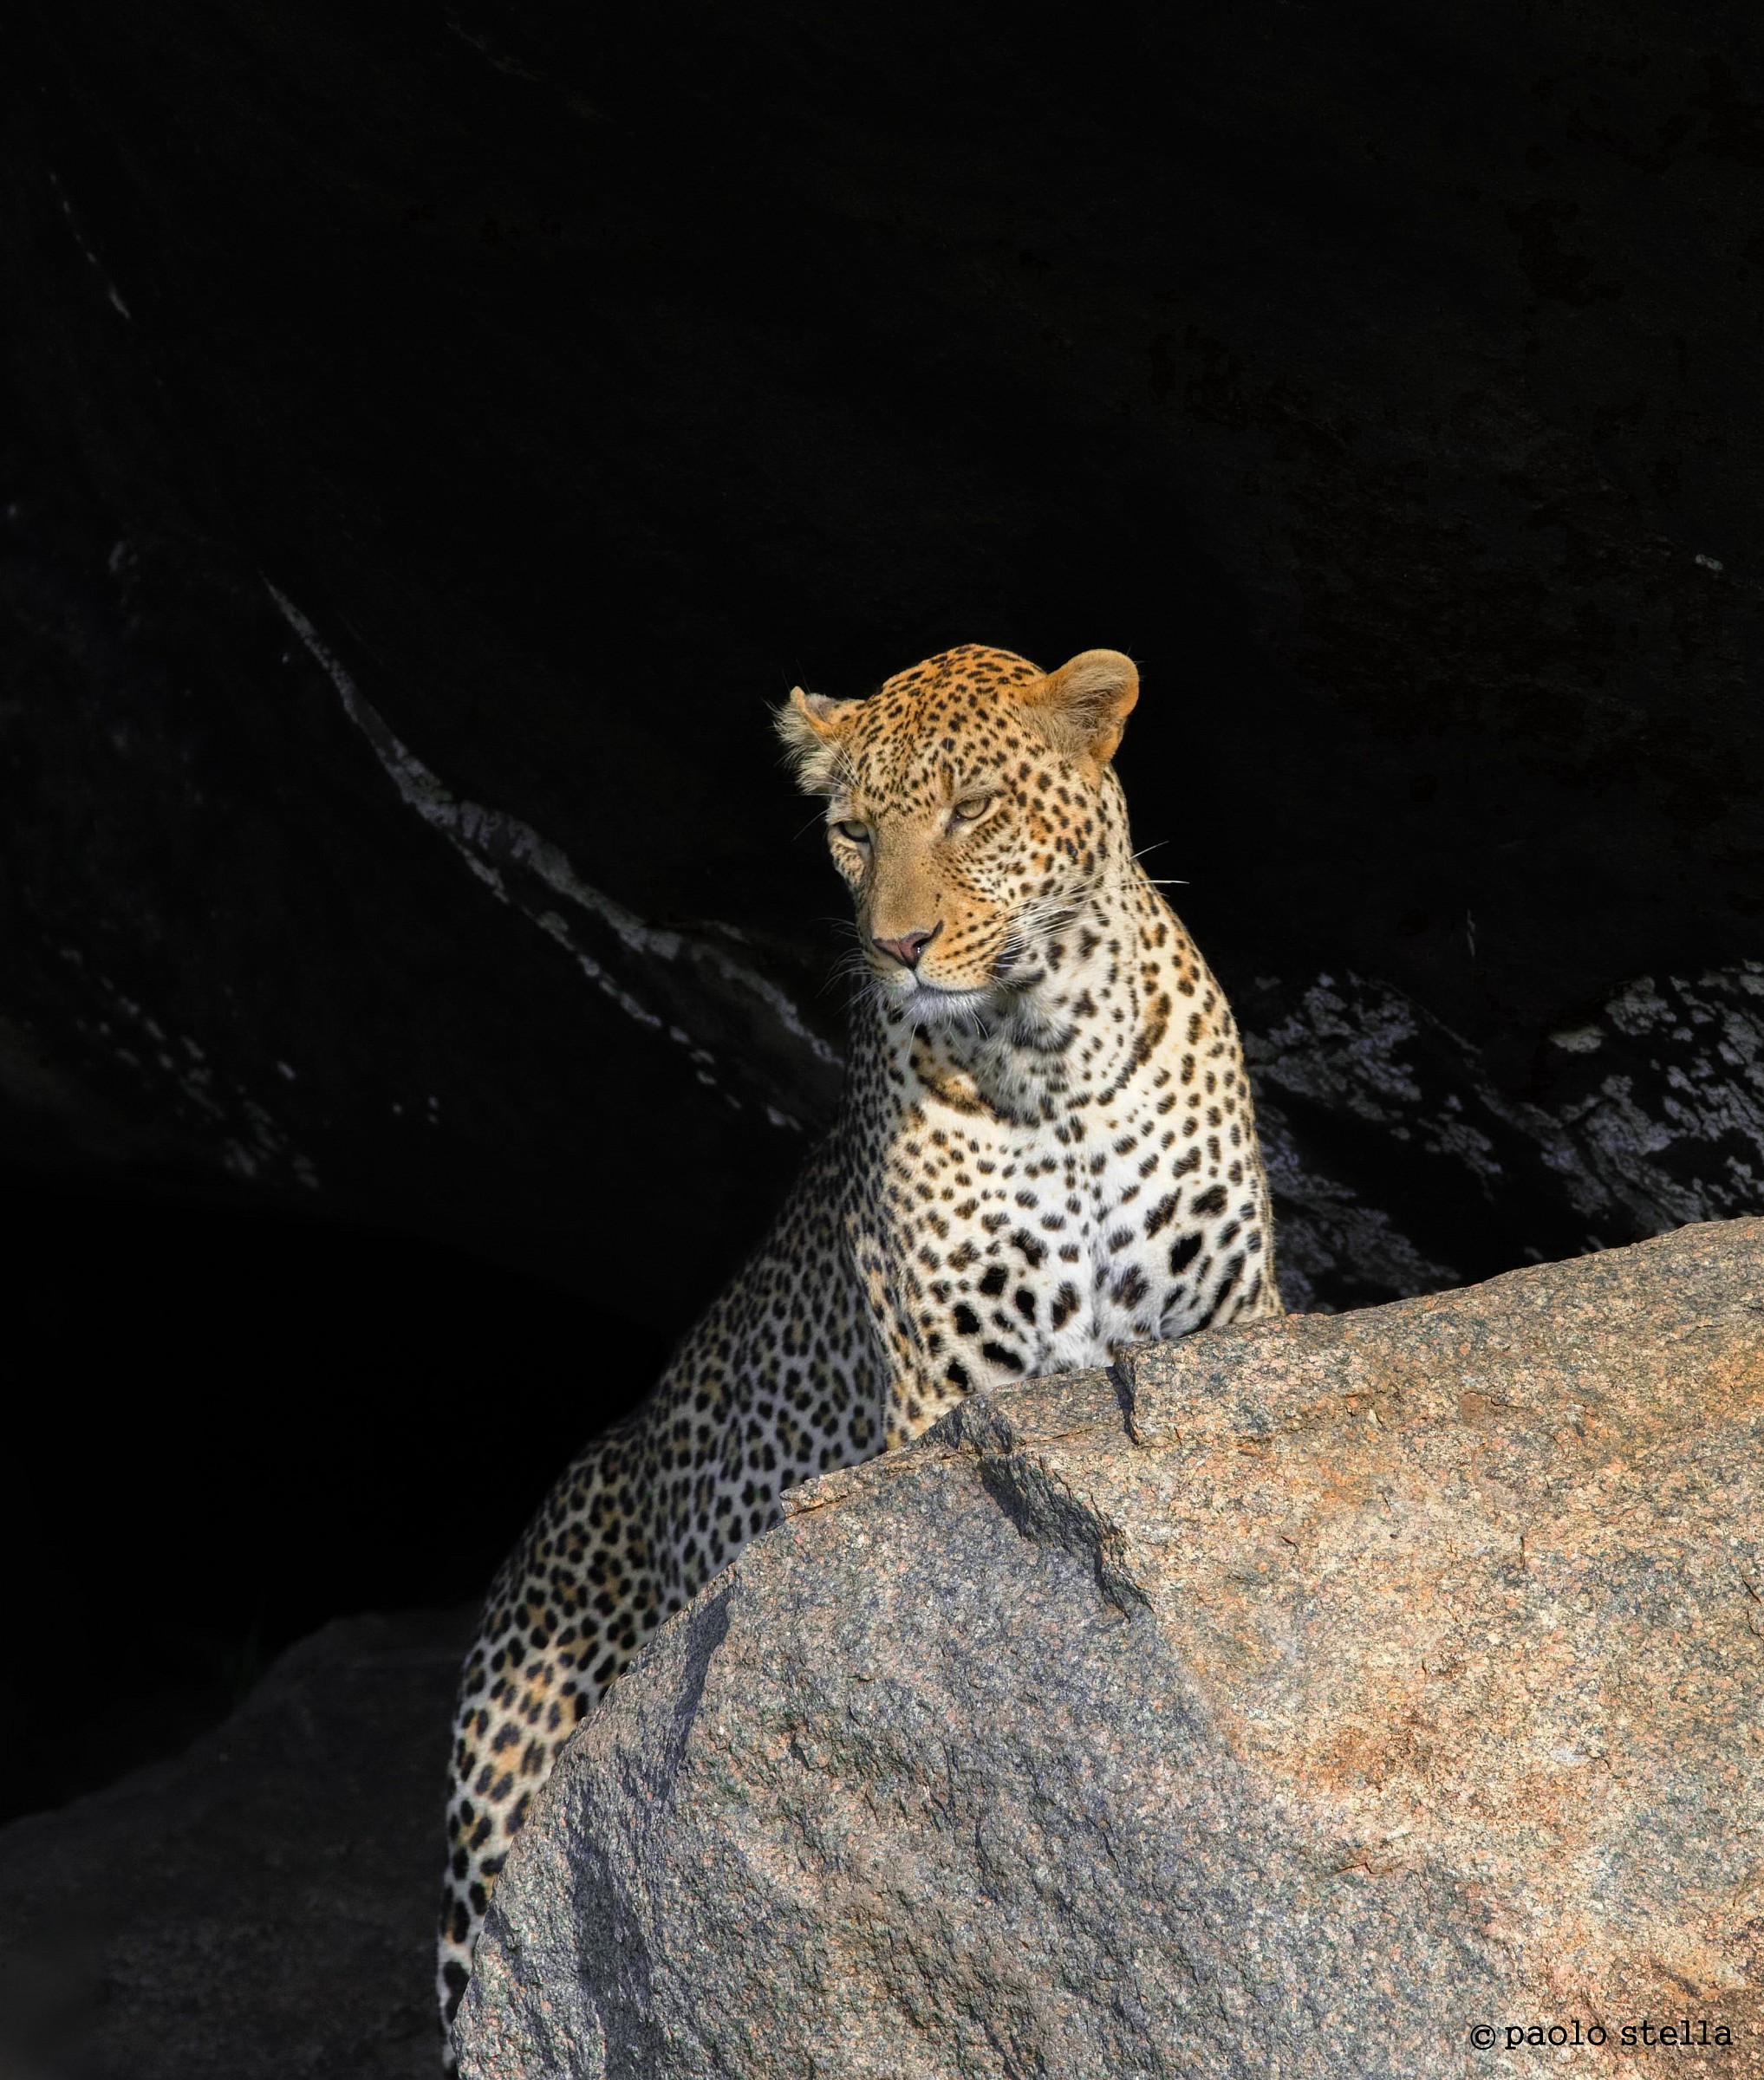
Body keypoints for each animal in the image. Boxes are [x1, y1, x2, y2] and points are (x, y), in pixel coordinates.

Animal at [436, 641, 1283, 2059]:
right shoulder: (945, 1399)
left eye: (972, 810)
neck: (1048, 1057)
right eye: (849, 832)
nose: (898, 945)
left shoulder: (1230, 1322)